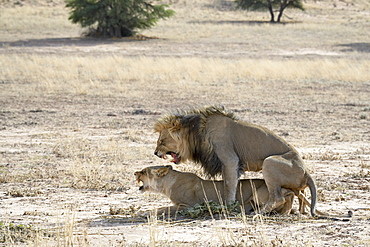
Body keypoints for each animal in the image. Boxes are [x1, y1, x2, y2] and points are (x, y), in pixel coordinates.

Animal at [135, 166, 294, 216]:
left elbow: (163, 208)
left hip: (259, 192)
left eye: (143, 171)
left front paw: (144, 213)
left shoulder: (188, 206)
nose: (135, 173)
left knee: (283, 198)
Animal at [153, 105, 318, 217]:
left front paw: (229, 206)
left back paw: (257, 213)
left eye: (161, 141)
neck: (197, 132)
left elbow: (229, 185)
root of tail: (306, 173)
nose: (155, 153)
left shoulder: (230, 160)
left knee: (277, 198)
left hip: (269, 162)